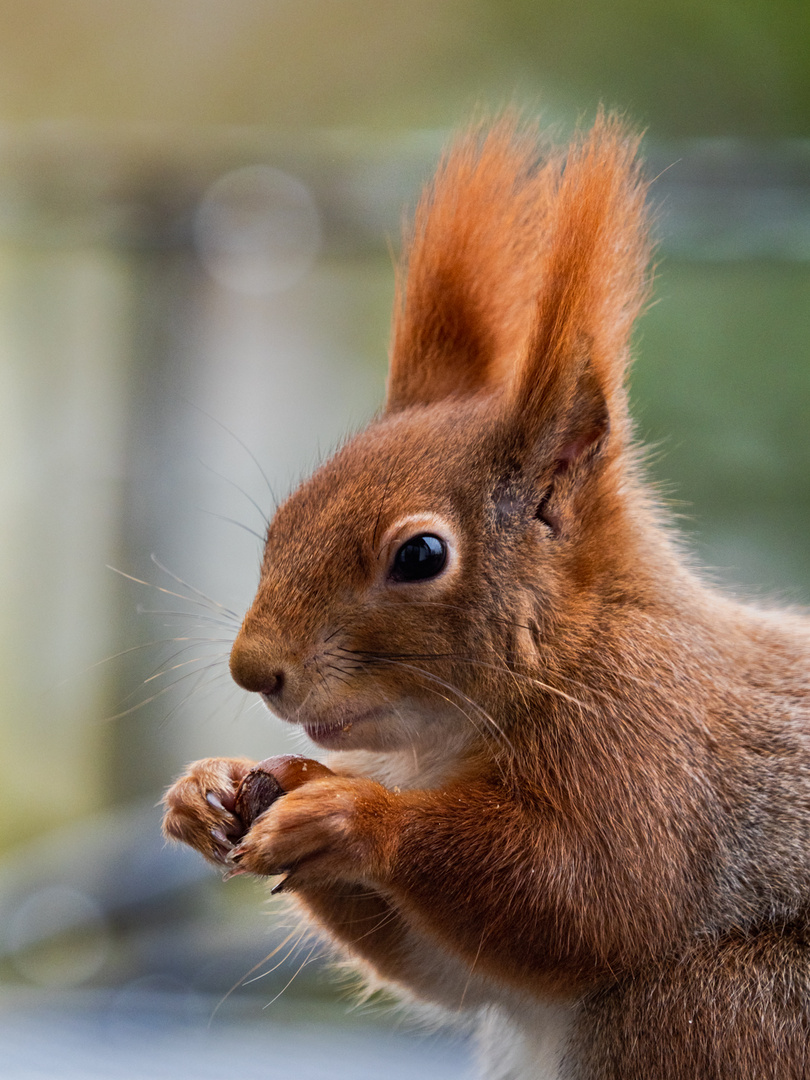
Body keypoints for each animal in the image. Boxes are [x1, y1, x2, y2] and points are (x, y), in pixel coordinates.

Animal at [163, 113, 810, 1075]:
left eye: (422, 554)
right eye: (283, 518)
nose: (254, 671)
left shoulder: (654, 755)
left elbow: (589, 899)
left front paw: (354, 815)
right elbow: (452, 971)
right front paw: (208, 788)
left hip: (714, 1006)